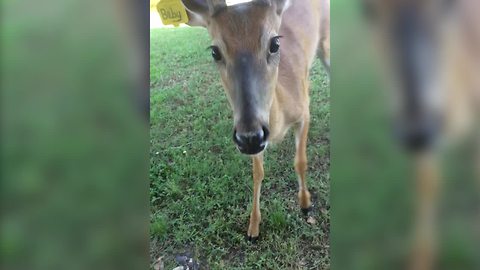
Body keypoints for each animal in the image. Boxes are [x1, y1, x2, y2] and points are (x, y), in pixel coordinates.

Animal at [179, 0, 330, 240]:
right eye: (214, 51)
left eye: (275, 43)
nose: (249, 137)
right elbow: (257, 173)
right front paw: (253, 227)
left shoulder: (304, 114)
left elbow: (300, 161)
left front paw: (306, 204)